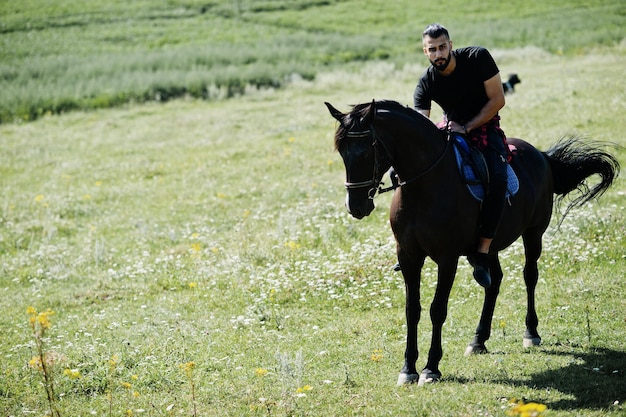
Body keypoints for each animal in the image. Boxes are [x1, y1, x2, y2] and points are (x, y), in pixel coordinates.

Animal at [324, 99, 616, 386]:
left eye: (364, 153)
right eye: (342, 154)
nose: (356, 207)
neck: (424, 187)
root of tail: (542, 156)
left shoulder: (447, 258)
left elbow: (437, 309)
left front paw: (431, 368)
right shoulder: (408, 256)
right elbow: (412, 310)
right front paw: (408, 368)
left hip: (534, 233)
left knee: (530, 275)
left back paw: (530, 332)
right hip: (491, 246)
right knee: (494, 282)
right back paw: (479, 340)